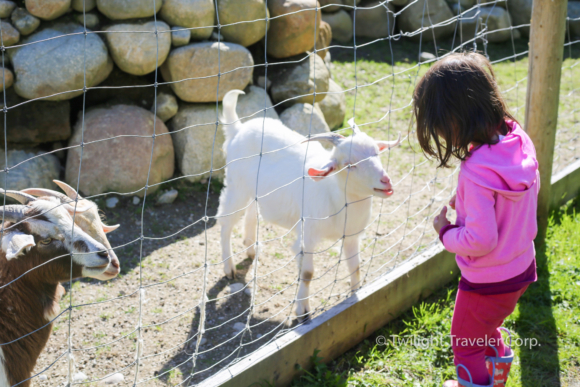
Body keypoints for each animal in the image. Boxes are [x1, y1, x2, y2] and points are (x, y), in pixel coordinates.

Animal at [218, 91, 398, 322]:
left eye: (377, 152)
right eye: (350, 165)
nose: (386, 181)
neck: (337, 197)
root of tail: (238, 129)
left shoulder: (351, 235)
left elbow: (355, 266)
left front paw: (356, 293)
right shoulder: (308, 235)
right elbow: (307, 274)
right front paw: (302, 310)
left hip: (255, 191)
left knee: (251, 212)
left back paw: (251, 248)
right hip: (236, 186)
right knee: (226, 222)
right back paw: (229, 267)